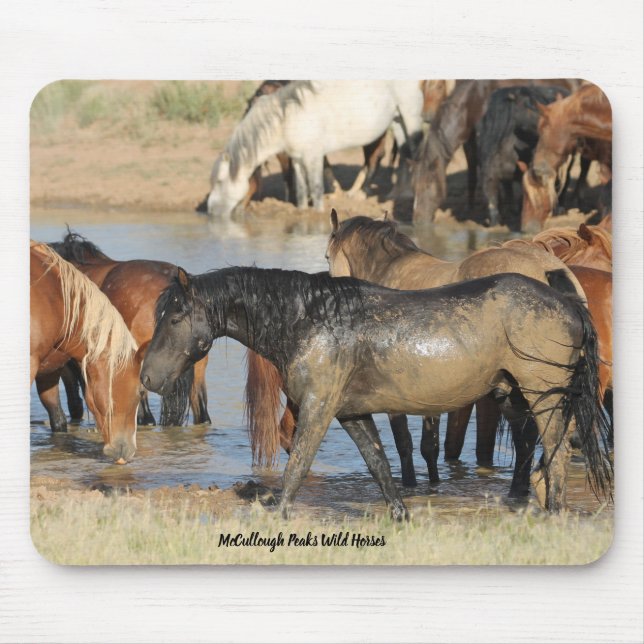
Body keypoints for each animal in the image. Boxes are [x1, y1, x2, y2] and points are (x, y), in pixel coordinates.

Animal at [141, 264, 611, 519]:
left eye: (176, 317)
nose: (147, 377)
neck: (310, 319)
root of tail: (570, 305)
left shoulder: (318, 409)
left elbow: (297, 467)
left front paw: (278, 513)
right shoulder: (351, 414)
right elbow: (380, 465)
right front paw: (401, 516)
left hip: (545, 397)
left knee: (557, 454)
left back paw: (552, 514)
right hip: (513, 396)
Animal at [206, 81, 424, 218]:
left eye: (219, 181)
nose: (211, 210)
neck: (288, 118)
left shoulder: (315, 156)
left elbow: (317, 188)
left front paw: (318, 214)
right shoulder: (297, 158)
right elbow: (303, 190)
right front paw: (302, 212)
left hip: (409, 115)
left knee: (413, 151)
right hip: (396, 120)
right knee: (404, 153)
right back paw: (399, 194)